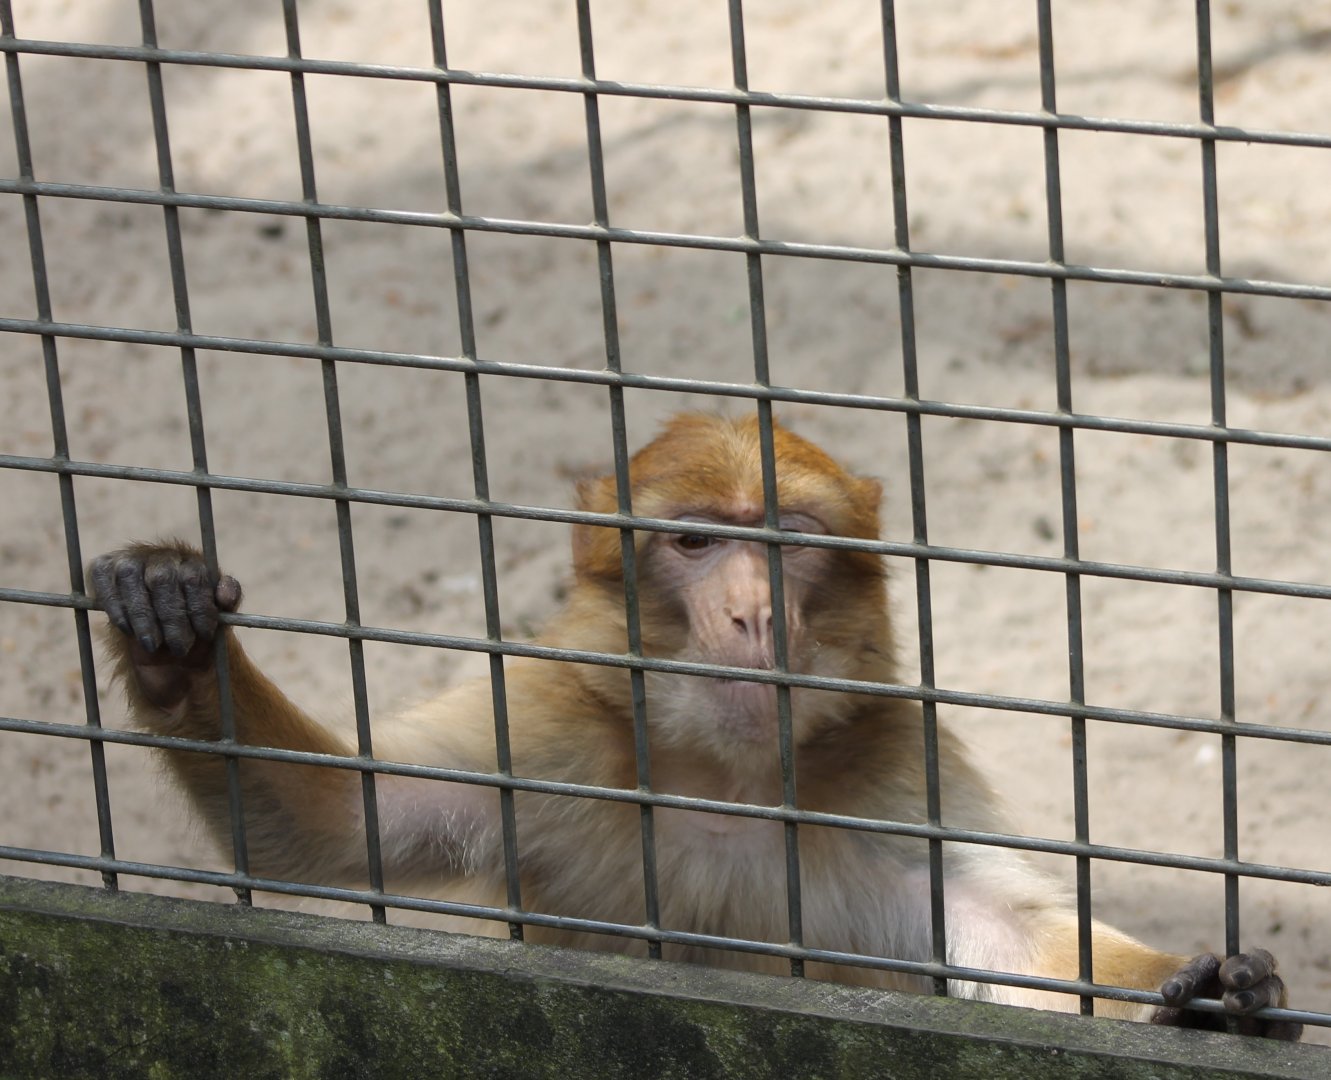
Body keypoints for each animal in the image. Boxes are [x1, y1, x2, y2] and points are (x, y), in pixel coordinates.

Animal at [90, 413, 1298, 1039]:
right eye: (694, 542)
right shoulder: (549, 736)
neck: (723, 782)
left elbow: (1006, 937)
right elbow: (337, 825)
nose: (753, 611)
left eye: (788, 538)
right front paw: (173, 636)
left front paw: (1212, 998)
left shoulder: (890, 768)